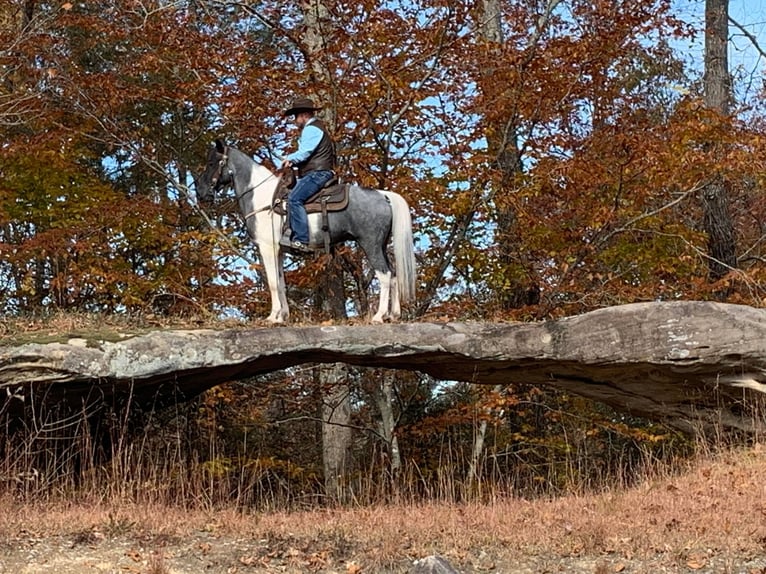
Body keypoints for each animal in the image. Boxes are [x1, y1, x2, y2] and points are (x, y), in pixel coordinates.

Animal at [195, 140, 416, 324]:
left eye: (212, 163)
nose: (201, 193)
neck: (262, 197)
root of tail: (383, 195)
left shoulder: (267, 248)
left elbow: (273, 282)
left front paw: (272, 317)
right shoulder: (280, 251)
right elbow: (281, 282)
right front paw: (283, 317)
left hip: (370, 244)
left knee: (385, 275)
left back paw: (379, 316)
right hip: (381, 245)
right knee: (394, 275)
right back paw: (394, 315)